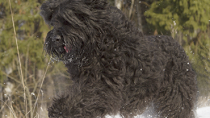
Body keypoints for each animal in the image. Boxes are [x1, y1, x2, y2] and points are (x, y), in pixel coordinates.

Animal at [40, 0, 198, 117]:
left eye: (69, 20)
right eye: (54, 22)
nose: (54, 38)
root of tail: (181, 51)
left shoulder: (106, 86)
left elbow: (85, 98)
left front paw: (60, 109)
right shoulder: (86, 81)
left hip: (176, 97)